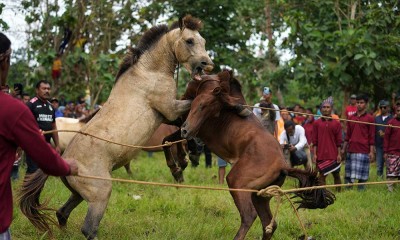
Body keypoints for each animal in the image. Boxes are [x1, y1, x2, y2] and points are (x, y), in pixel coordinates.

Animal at [18, 15, 214, 240]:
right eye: (189, 41)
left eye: (203, 41)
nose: (208, 65)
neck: (150, 71)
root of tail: (65, 161)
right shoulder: (170, 109)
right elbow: (185, 120)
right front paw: (185, 159)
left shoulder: (167, 116)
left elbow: (174, 135)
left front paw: (181, 164)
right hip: (100, 193)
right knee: (88, 228)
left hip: (78, 194)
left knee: (62, 213)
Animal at [181, 70, 334, 240]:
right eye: (195, 105)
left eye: (203, 105)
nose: (185, 130)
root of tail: (283, 166)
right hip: (260, 195)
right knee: (269, 223)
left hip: (237, 182)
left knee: (249, 216)